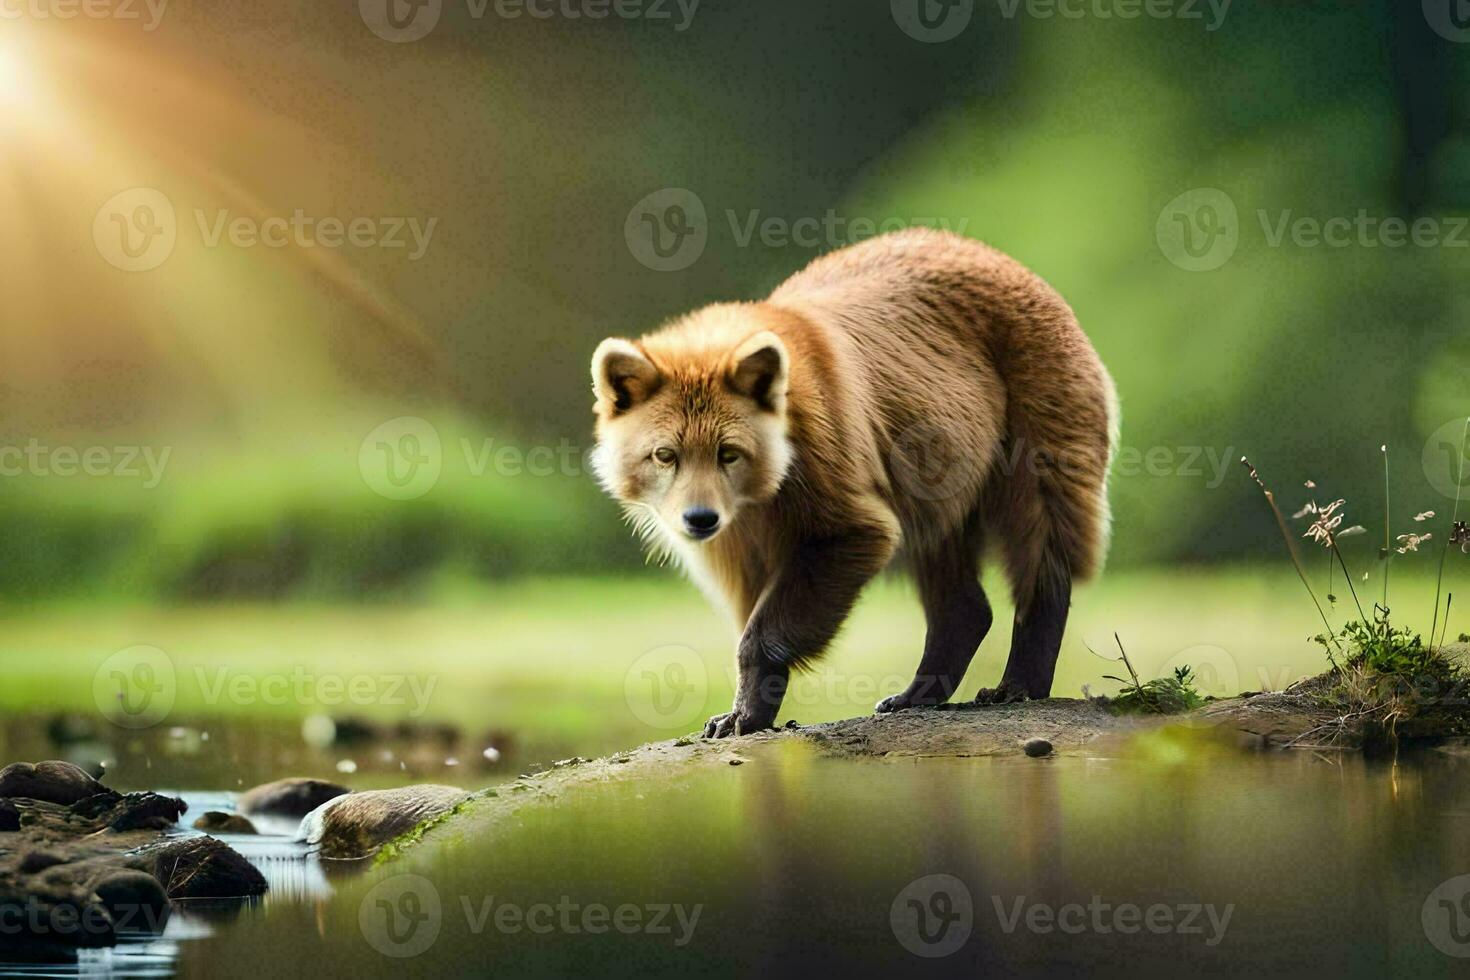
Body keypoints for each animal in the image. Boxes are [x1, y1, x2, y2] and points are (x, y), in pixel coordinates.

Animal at [590, 227, 1117, 734]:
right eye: (665, 454)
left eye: (729, 451)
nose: (699, 518)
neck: (760, 497)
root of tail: (1004, 259)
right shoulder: (743, 537)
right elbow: (749, 596)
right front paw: (737, 712)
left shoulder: (825, 461)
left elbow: (844, 540)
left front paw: (740, 715)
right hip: (938, 469)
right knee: (950, 575)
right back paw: (911, 694)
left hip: (1027, 402)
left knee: (1041, 526)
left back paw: (1017, 683)